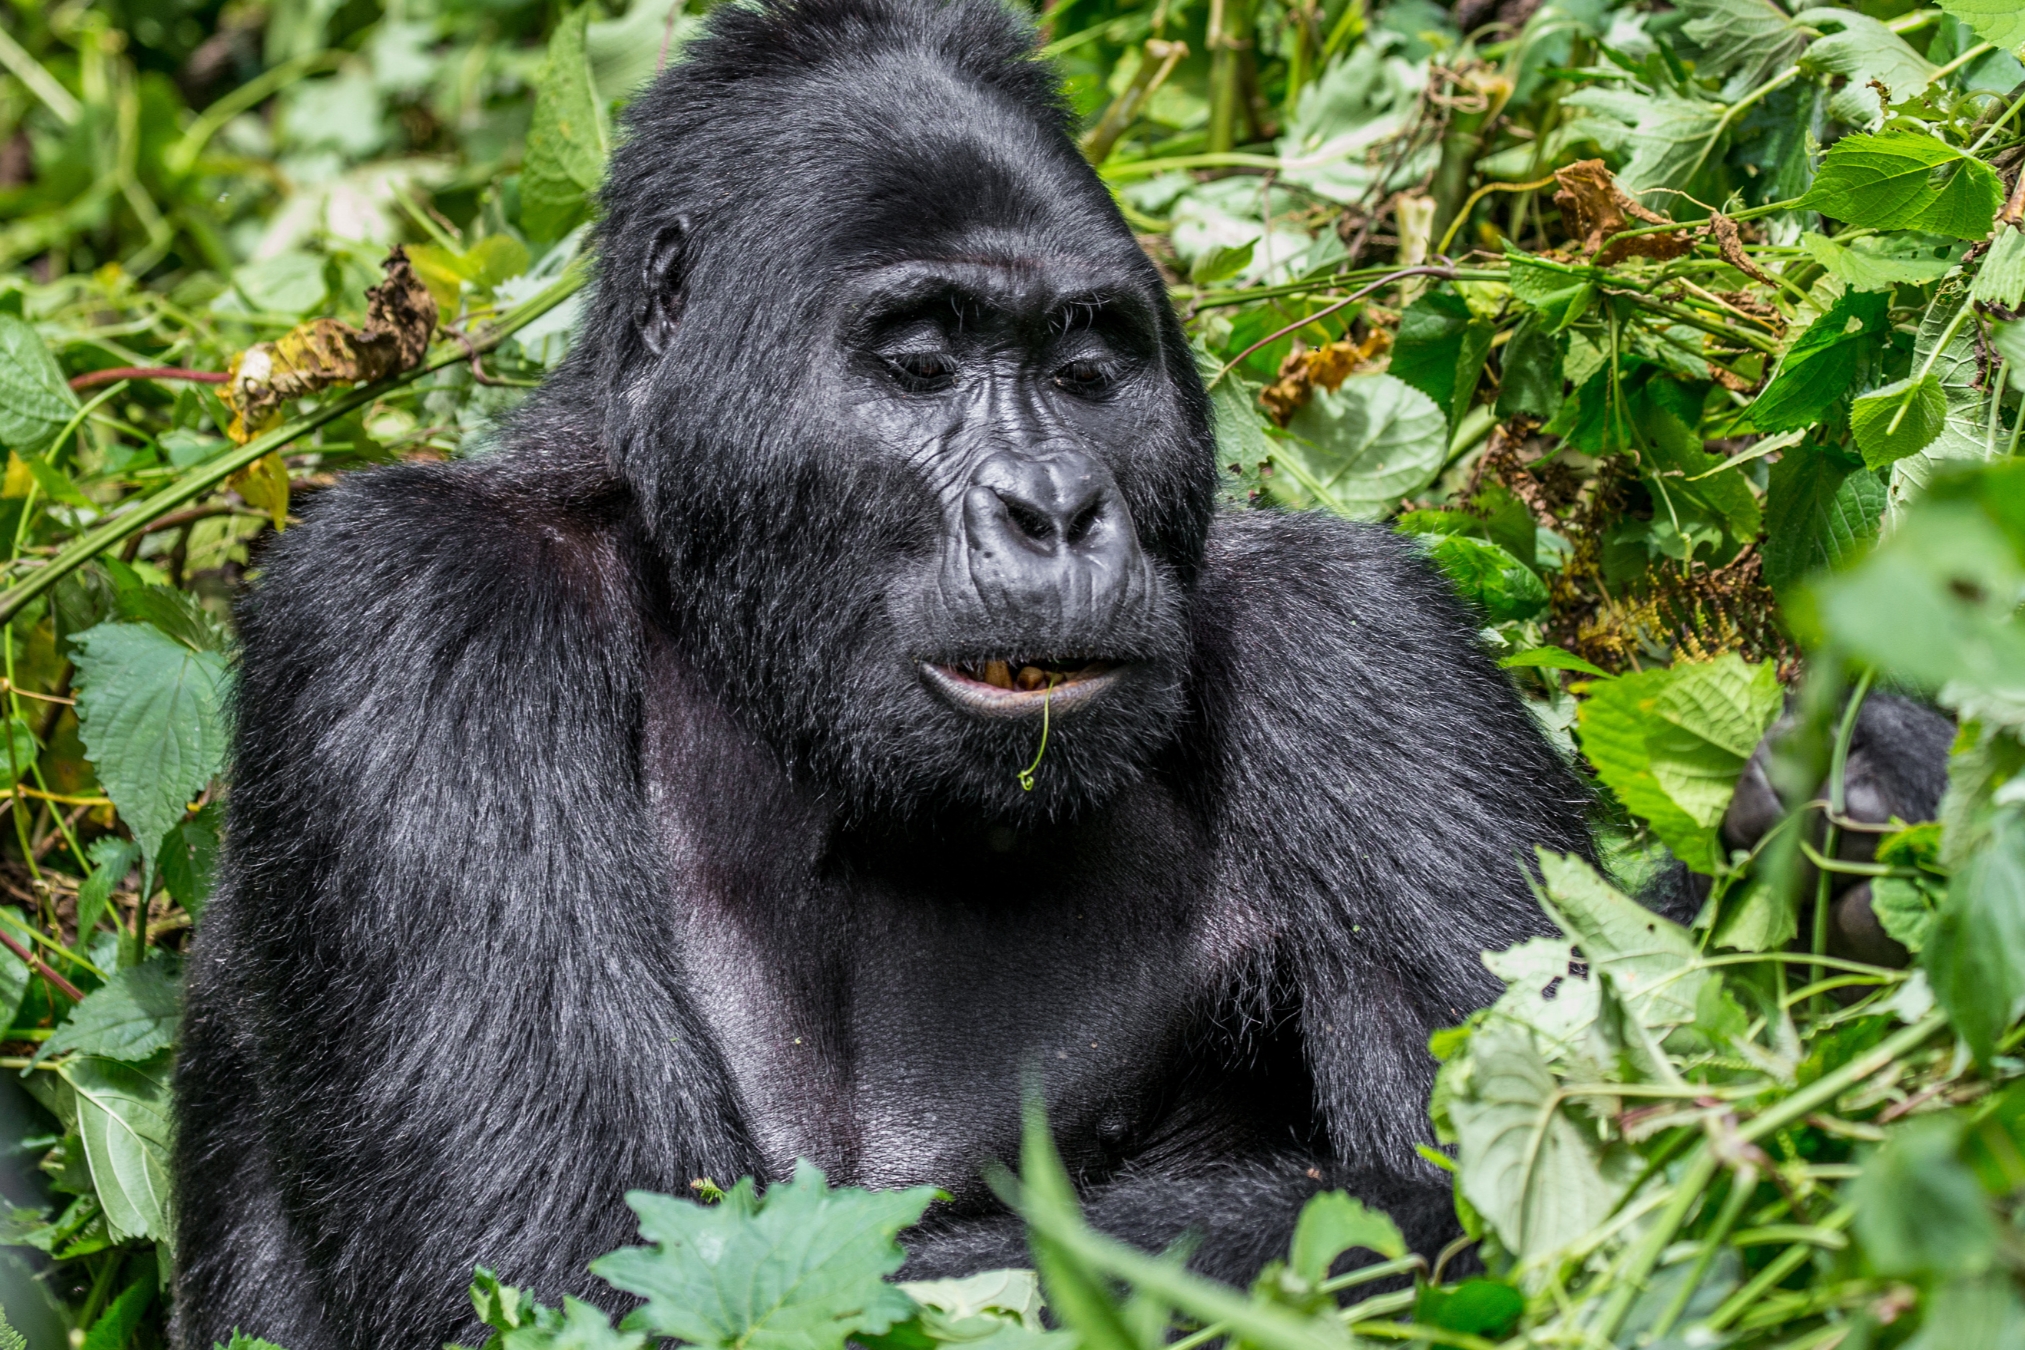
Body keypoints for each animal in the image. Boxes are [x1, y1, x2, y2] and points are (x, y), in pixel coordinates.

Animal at [170, 2, 1944, 1350]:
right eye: (921, 359)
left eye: (1088, 369)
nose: (1053, 504)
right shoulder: (410, 608)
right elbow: (584, 1273)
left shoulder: (1349, 632)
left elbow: (1560, 1135)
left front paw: (1857, 847)